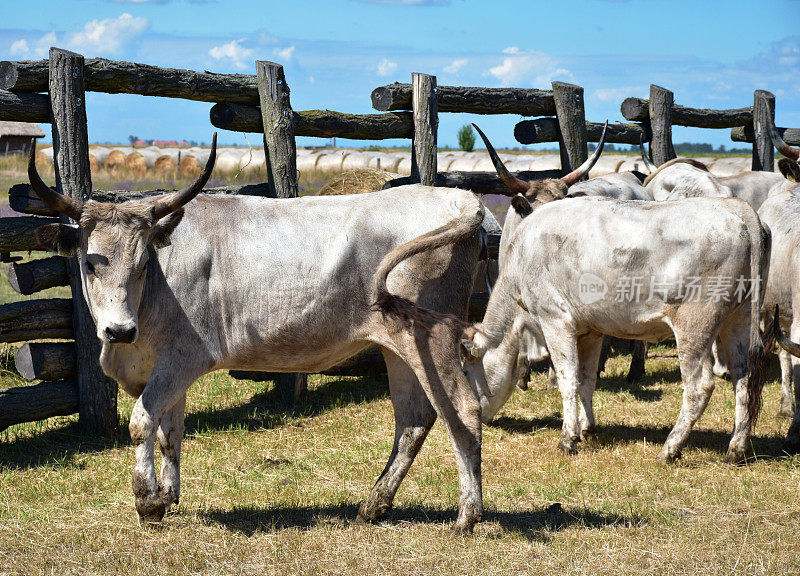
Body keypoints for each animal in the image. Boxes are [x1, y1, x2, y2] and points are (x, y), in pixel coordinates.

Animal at [28, 137, 484, 532]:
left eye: (143, 265)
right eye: (89, 263)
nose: (119, 330)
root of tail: (458, 198)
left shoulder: (183, 358)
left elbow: (143, 422)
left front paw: (146, 502)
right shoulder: (161, 368)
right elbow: (169, 430)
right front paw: (166, 496)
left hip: (435, 337)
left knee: (463, 412)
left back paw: (467, 516)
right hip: (400, 348)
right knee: (414, 419)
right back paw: (373, 506)